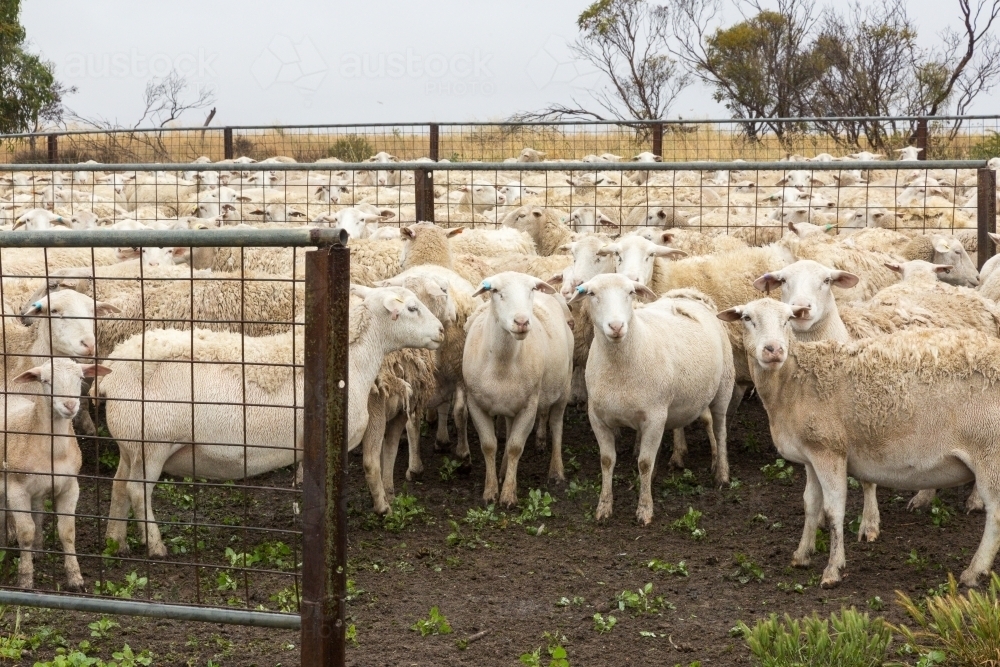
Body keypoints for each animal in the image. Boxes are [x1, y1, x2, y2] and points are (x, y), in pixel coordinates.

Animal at [0, 359, 110, 589]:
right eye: (46, 381)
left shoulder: (70, 487)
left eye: (80, 378)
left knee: (38, 513)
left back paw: (37, 550)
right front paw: (25, 579)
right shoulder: (17, 490)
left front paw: (75, 577)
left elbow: (67, 532)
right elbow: (25, 532)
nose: (69, 405)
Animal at [100, 284, 445, 556]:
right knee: (137, 491)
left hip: (130, 445)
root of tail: (113, 370)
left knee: (119, 487)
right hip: (152, 443)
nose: (442, 331)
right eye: (412, 308)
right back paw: (156, 546)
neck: (356, 360)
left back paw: (116, 542)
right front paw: (376, 510)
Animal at [463, 272, 573, 506]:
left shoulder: (529, 407)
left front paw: (508, 495)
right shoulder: (475, 405)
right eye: (496, 291)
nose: (522, 322)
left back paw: (556, 472)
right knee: (508, 427)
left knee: (556, 426)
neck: (502, 365)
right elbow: (489, 445)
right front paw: (490, 491)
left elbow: (515, 446)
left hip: (564, 387)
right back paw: (503, 471)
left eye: (531, 290)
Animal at [571, 275, 734, 524]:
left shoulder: (654, 417)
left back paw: (722, 474)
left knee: (720, 429)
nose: (616, 326)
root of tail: (689, 294)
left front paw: (645, 510)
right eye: (591, 294)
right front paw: (604, 507)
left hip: (724, 387)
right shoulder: (597, 418)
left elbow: (644, 463)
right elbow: (607, 461)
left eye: (630, 292)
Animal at [719, 298, 1000, 588]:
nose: (774, 350)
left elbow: (833, 510)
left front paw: (833, 569)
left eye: (787, 320)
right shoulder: (810, 455)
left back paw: (974, 571)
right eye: (747, 318)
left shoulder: (830, 450)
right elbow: (810, 504)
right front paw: (801, 555)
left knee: (996, 516)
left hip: (990, 452)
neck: (793, 382)